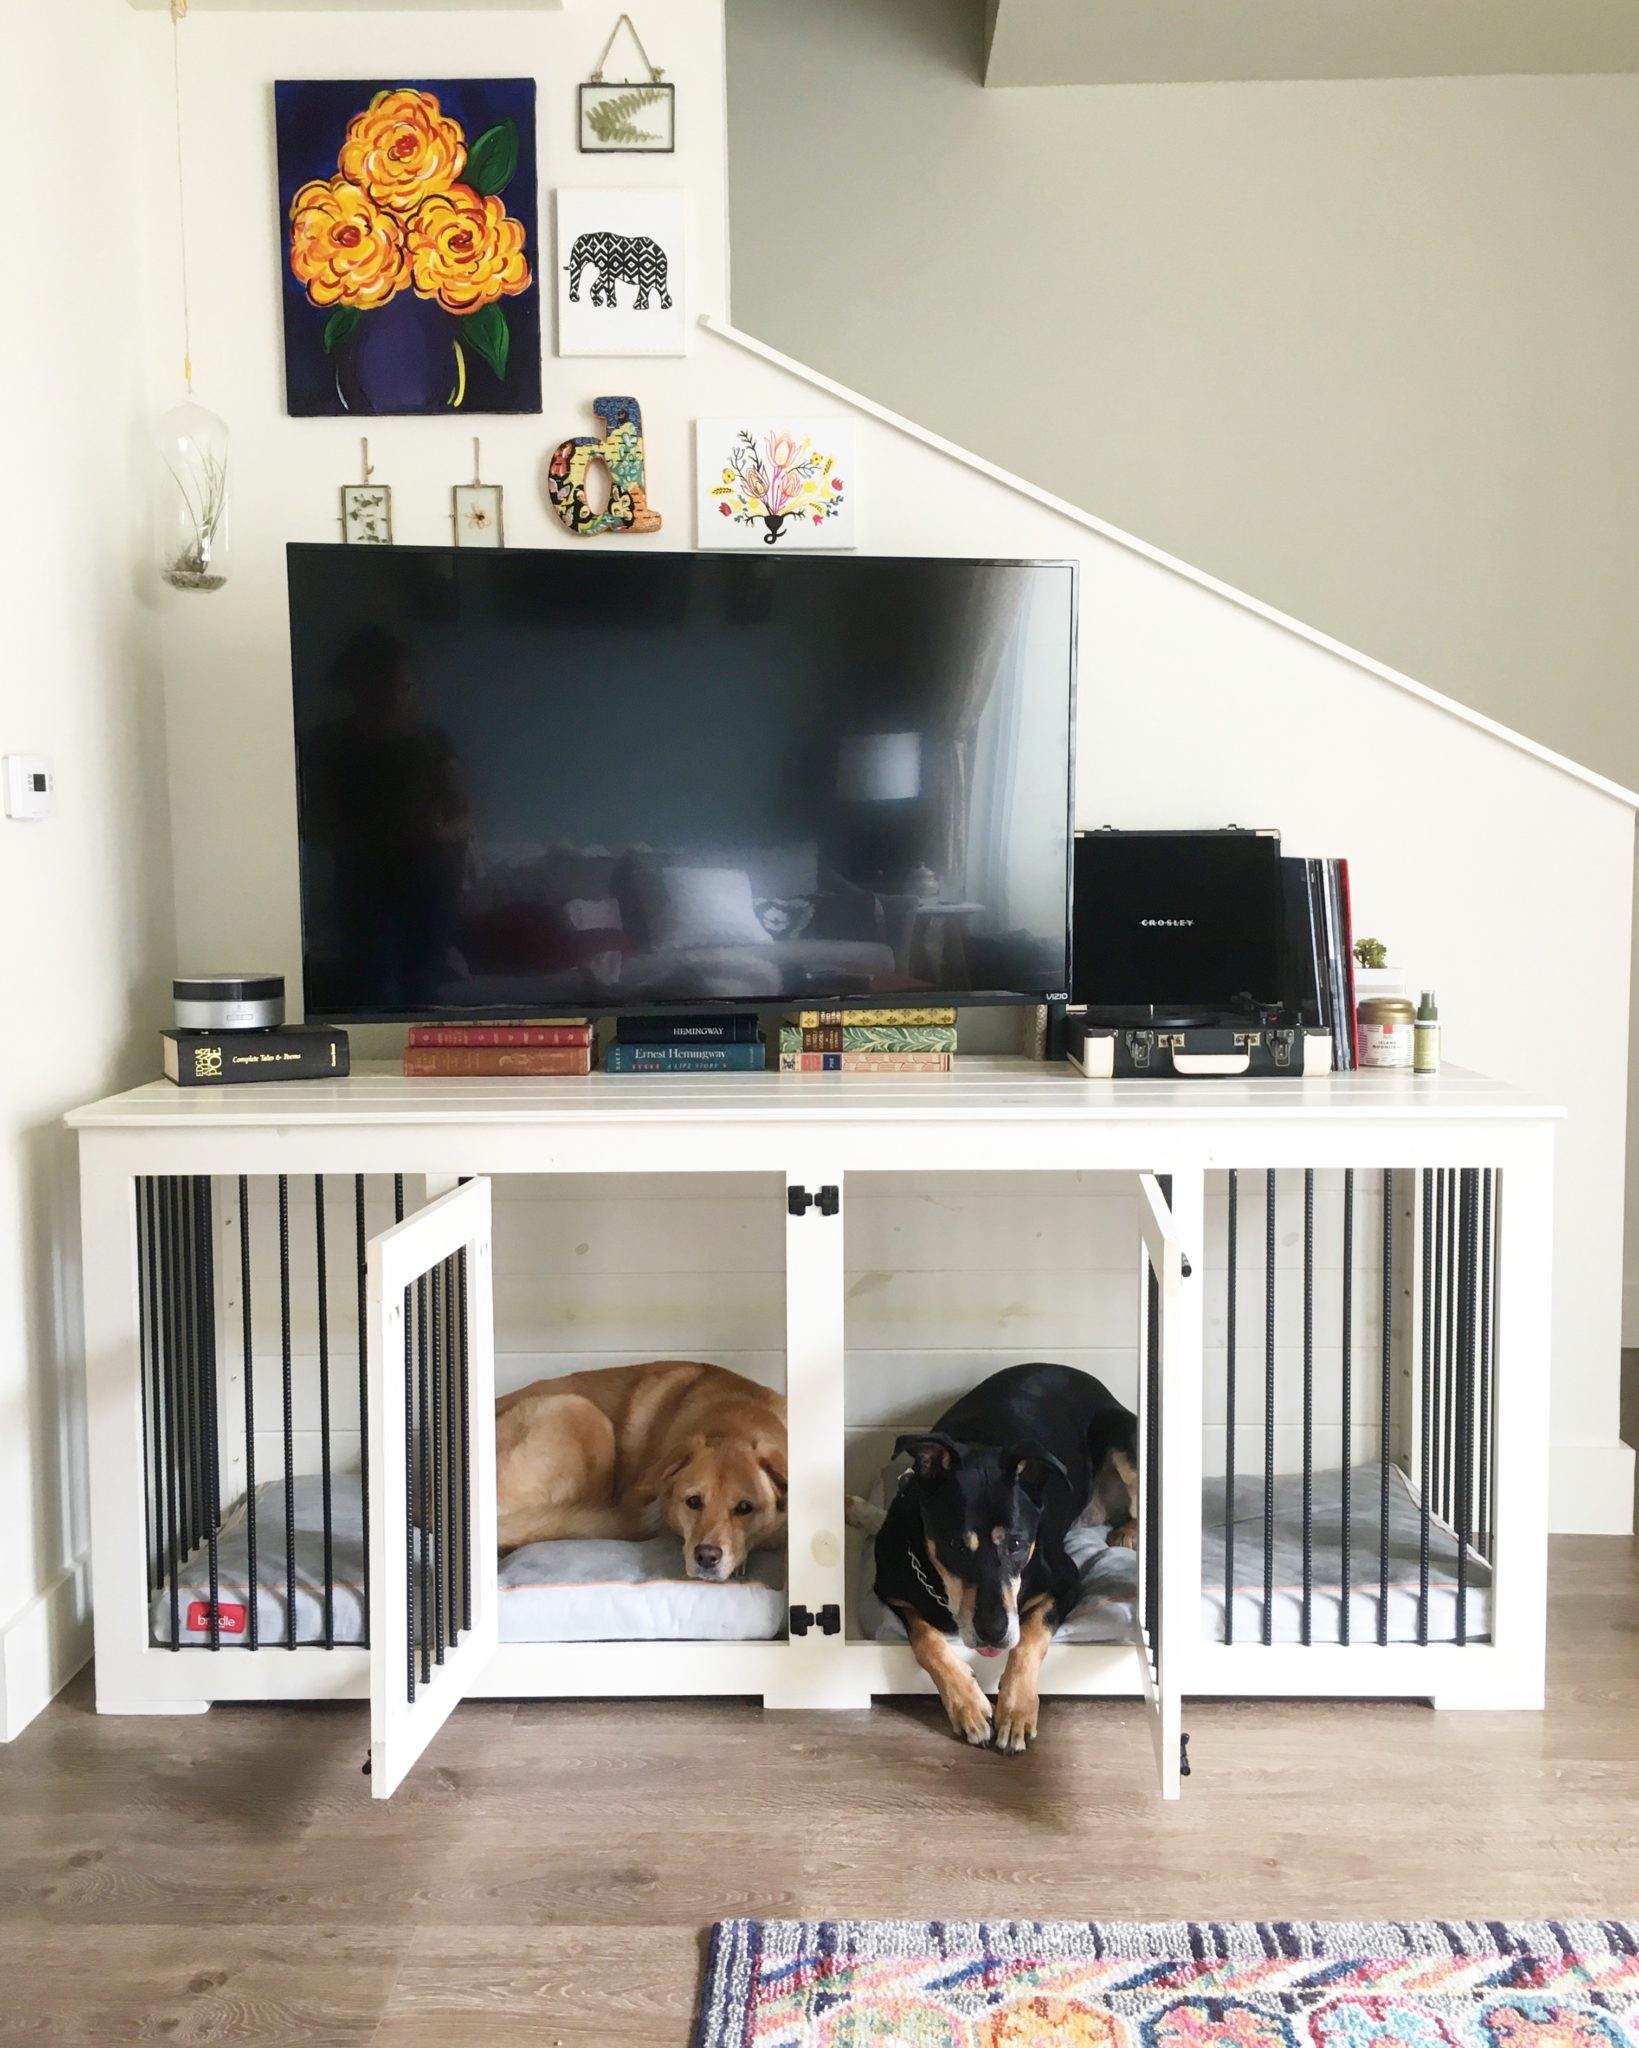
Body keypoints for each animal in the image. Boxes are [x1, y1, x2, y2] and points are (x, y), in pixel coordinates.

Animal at [868, 1368, 1139, 1753]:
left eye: (1017, 1544)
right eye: (955, 1544)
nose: (993, 1632)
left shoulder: (1066, 1582)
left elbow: (1030, 1635)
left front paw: (1016, 1712)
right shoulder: (894, 1593)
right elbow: (925, 1638)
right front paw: (968, 1706)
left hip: (1123, 1437)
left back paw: (1128, 1530)